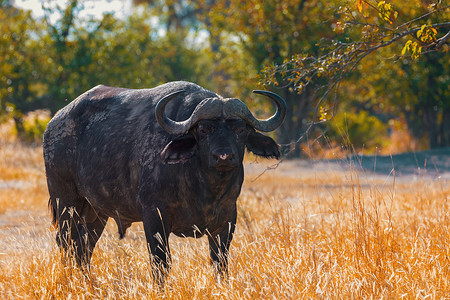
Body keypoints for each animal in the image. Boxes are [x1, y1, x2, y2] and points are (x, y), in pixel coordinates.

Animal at [44, 81, 286, 282]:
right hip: (66, 201)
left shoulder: (226, 220)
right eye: (204, 129)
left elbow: (220, 263)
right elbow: (161, 264)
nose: (224, 156)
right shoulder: (154, 217)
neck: (205, 189)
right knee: (65, 241)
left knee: (83, 246)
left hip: (96, 212)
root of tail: (55, 122)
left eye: (241, 129)